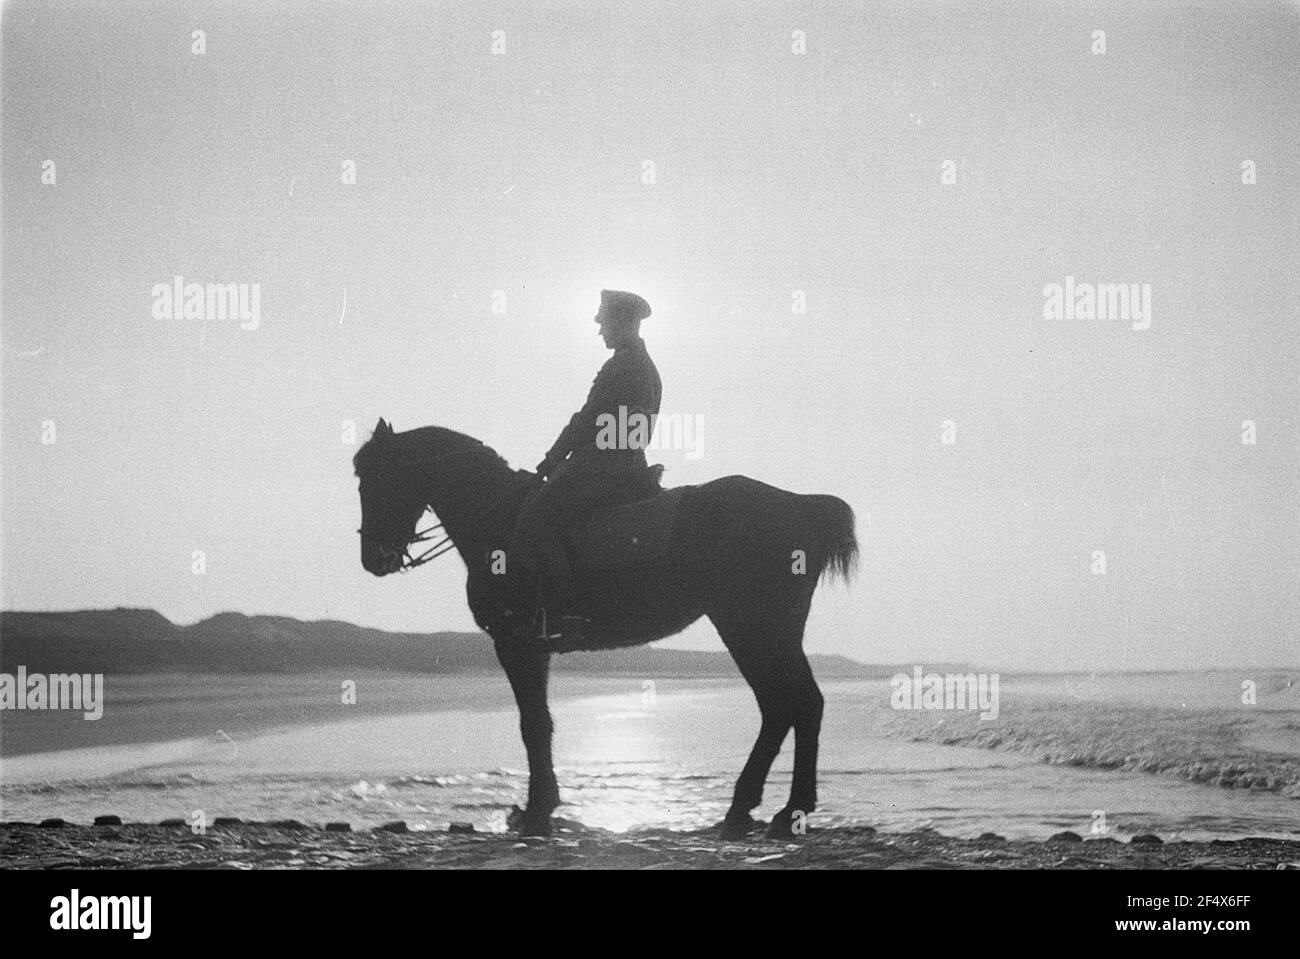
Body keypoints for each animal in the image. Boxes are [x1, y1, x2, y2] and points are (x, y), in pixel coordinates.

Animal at [351, 415, 857, 831]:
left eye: (376, 479)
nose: (373, 558)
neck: (500, 520)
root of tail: (801, 505)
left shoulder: (515, 644)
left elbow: (533, 724)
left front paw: (536, 808)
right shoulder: (532, 648)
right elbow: (540, 723)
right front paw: (542, 802)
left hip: (752, 627)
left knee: (791, 704)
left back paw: (776, 808)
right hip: (765, 630)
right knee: (791, 706)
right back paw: (764, 808)